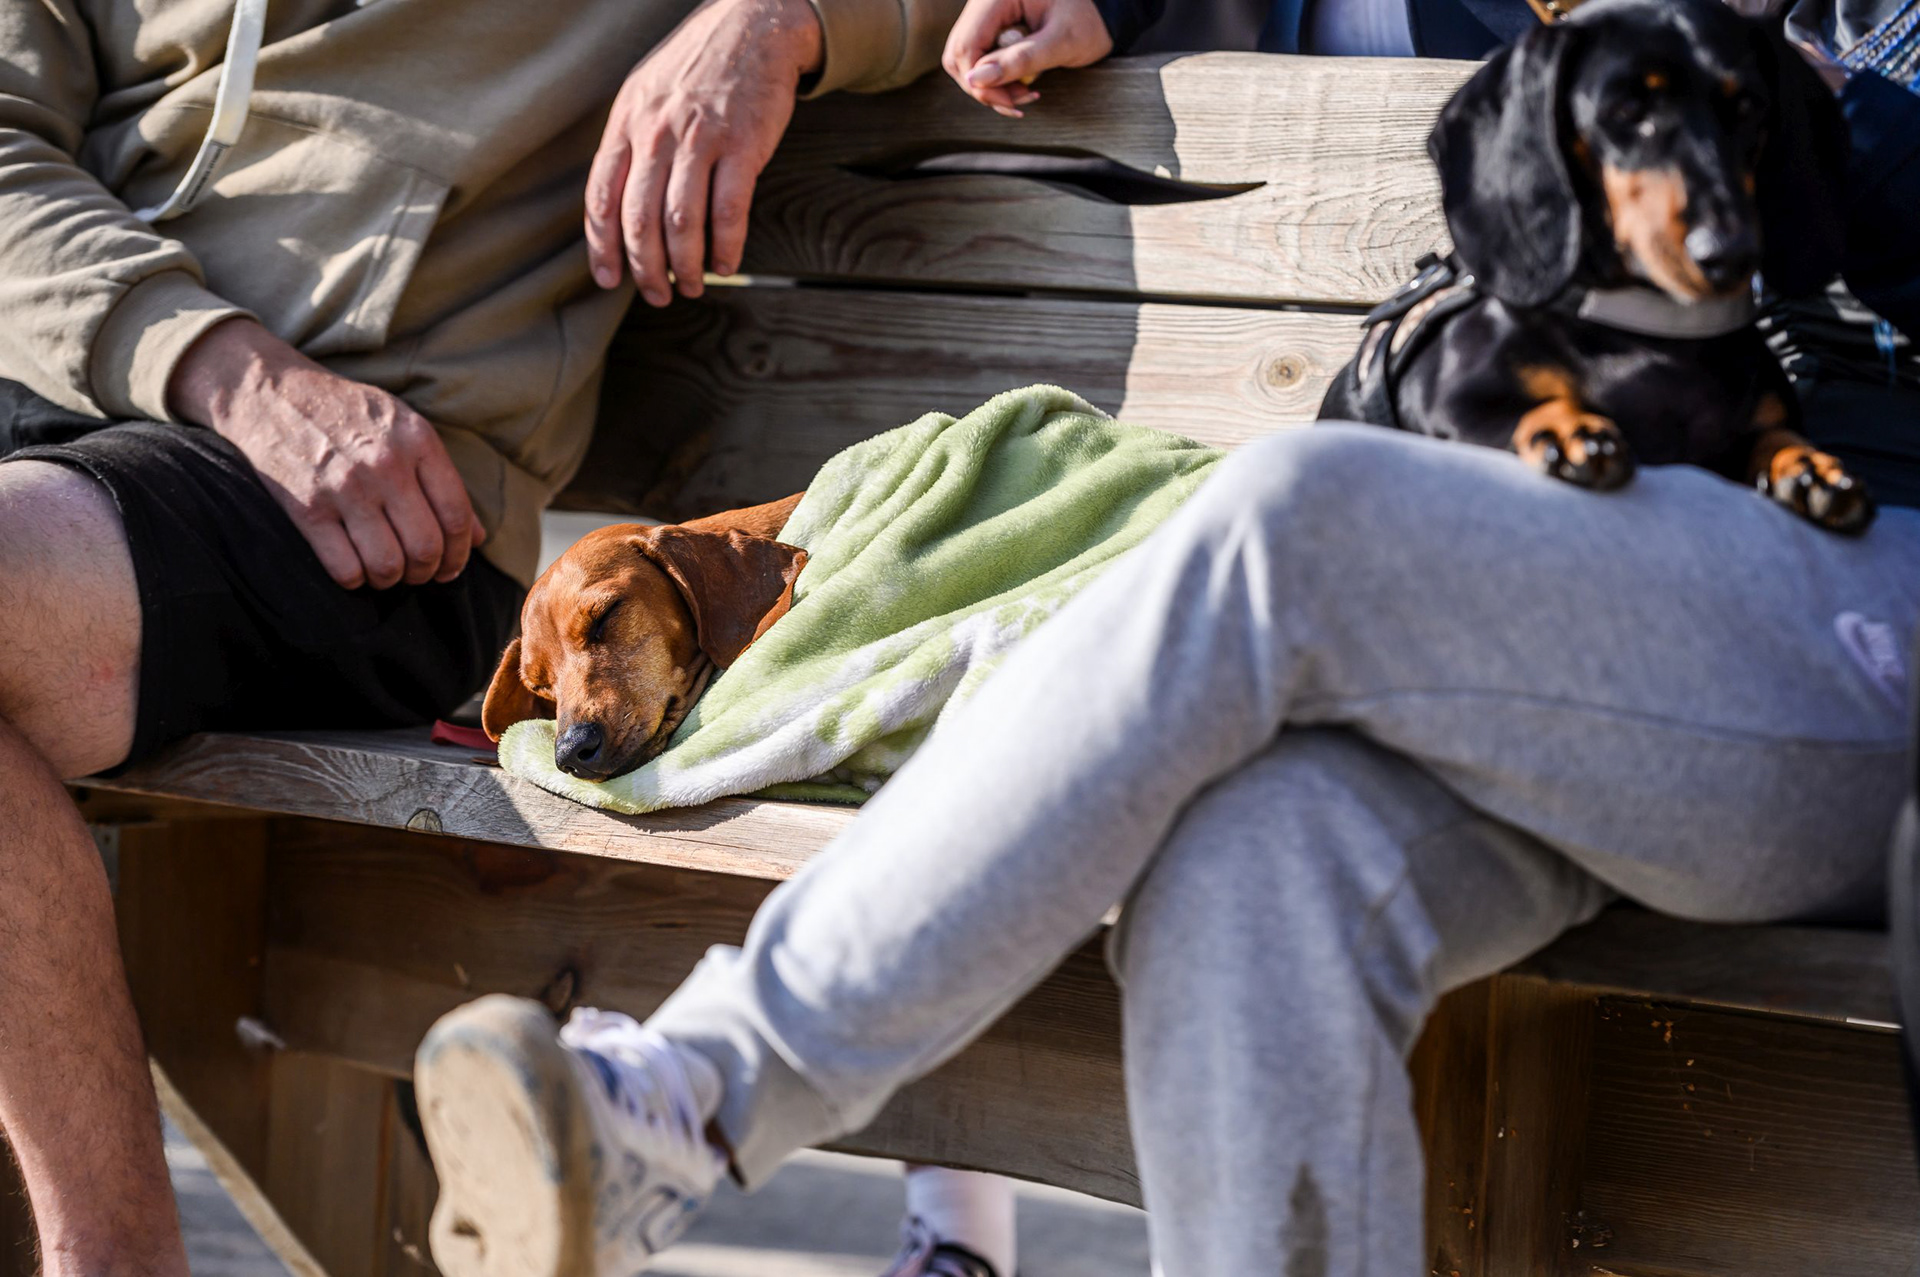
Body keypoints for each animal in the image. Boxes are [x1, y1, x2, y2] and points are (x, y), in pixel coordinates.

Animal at [1318, 0, 1872, 533]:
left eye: (1749, 107)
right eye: (1627, 109)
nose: (1730, 253)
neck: (1652, 332)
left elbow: (1777, 434)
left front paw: (1809, 465)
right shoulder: (1445, 404)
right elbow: (1520, 407)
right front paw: (1568, 428)